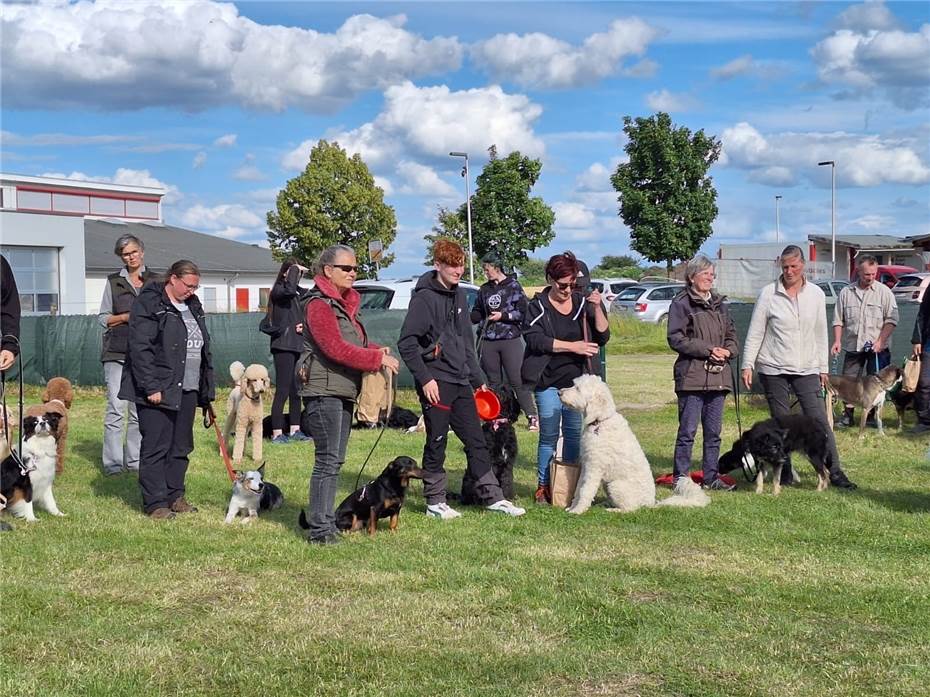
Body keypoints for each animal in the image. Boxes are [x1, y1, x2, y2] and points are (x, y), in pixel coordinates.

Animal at [560, 376, 704, 512]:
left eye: (578, 388)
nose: (559, 392)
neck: (600, 421)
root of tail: (651, 503)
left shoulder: (594, 468)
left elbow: (585, 491)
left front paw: (577, 510)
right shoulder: (586, 465)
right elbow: (578, 488)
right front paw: (572, 507)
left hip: (615, 485)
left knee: (631, 508)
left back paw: (614, 510)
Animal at [716, 414, 856, 494]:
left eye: (780, 447)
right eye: (774, 447)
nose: (785, 458)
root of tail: (821, 426)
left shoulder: (777, 462)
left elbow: (775, 479)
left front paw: (775, 494)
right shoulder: (762, 462)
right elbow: (760, 478)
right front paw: (758, 492)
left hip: (813, 456)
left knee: (823, 474)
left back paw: (819, 490)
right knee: (825, 472)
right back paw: (824, 488)